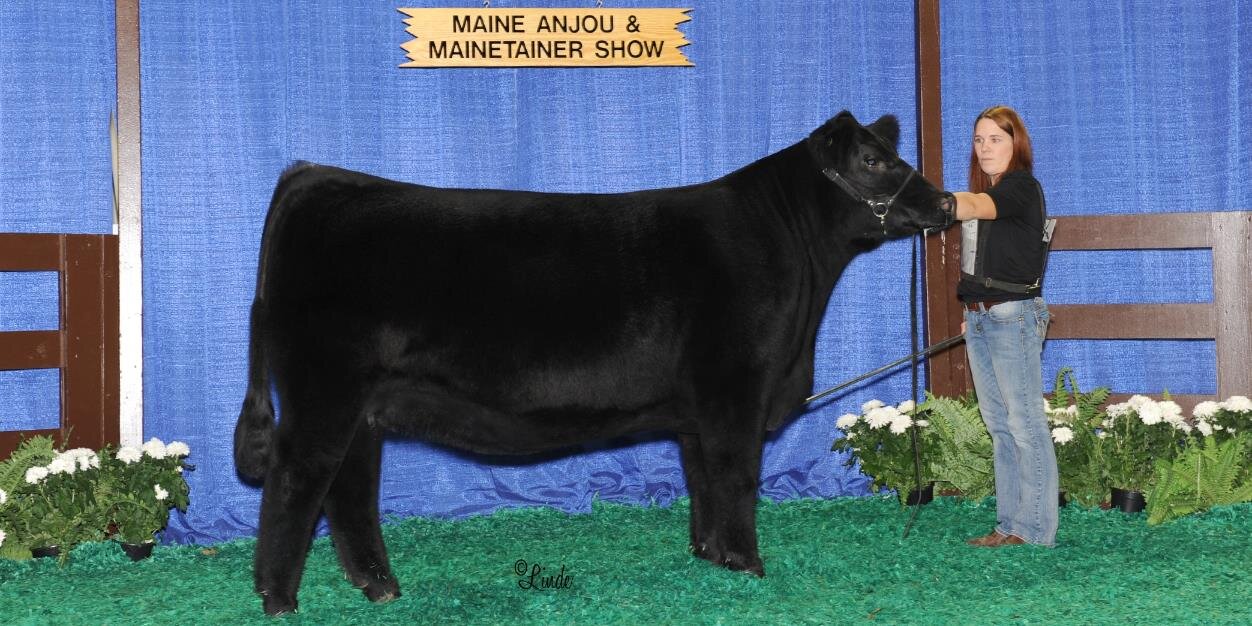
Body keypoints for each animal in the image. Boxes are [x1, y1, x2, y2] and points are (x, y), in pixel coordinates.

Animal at [233, 110, 954, 615]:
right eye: (872, 159)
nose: (946, 202)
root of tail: (317, 176)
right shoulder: (735, 387)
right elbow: (737, 477)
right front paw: (748, 564)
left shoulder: (697, 409)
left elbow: (703, 480)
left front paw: (710, 555)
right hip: (323, 392)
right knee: (297, 482)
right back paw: (278, 599)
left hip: (363, 405)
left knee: (347, 489)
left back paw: (379, 587)